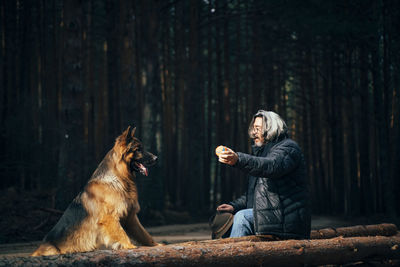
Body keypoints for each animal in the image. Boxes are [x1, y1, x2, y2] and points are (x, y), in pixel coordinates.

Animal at [31, 126, 159, 256]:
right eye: (138, 149)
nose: (156, 158)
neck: (119, 178)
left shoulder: (130, 217)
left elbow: (145, 234)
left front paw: (157, 245)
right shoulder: (110, 217)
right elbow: (122, 234)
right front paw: (130, 247)